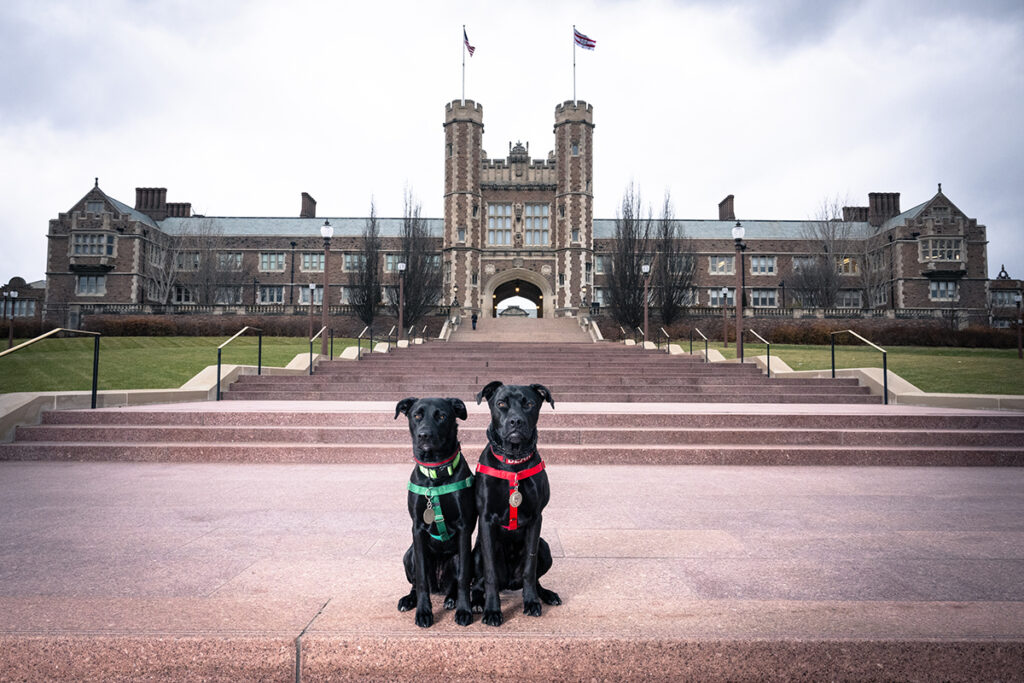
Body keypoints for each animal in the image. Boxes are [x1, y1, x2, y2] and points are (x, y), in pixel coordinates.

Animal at [393, 397, 477, 626]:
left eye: (441, 416)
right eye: (417, 415)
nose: (424, 435)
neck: (435, 475)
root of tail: (439, 586)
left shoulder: (464, 527)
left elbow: (464, 577)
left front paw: (464, 611)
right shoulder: (418, 529)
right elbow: (421, 580)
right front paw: (423, 612)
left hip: (461, 557)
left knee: (455, 582)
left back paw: (451, 599)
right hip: (410, 555)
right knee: (416, 583)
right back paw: (408, 600)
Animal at [468, 382, 561, 626]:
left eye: (529, 404)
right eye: (501, 403)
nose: (516, 421)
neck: (513, 462)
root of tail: (509, 583)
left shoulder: (536, 519)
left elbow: (530, 568)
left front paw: (531, 602)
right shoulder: (486, 519)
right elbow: (490, 574)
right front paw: (492, 611)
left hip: (544, 547)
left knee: (535, 577)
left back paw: (547, 594)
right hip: (476, 552)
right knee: (479, 582)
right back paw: (477, 602)